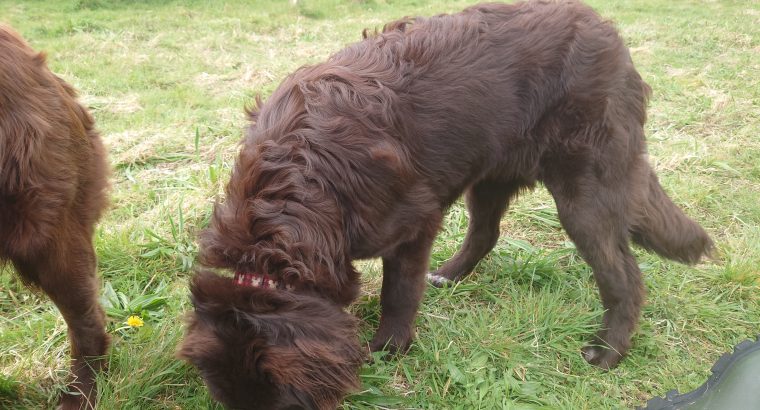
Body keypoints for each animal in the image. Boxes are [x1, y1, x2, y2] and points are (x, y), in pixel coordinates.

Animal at [180, 1, 712, 408]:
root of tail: (608, 30)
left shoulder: (414, 223)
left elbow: (397, 294)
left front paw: (388, 348)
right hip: (493, 173)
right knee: (486, 233)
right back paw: (450, 275)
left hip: (587, 191)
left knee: (624, 275)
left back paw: (608, 350)